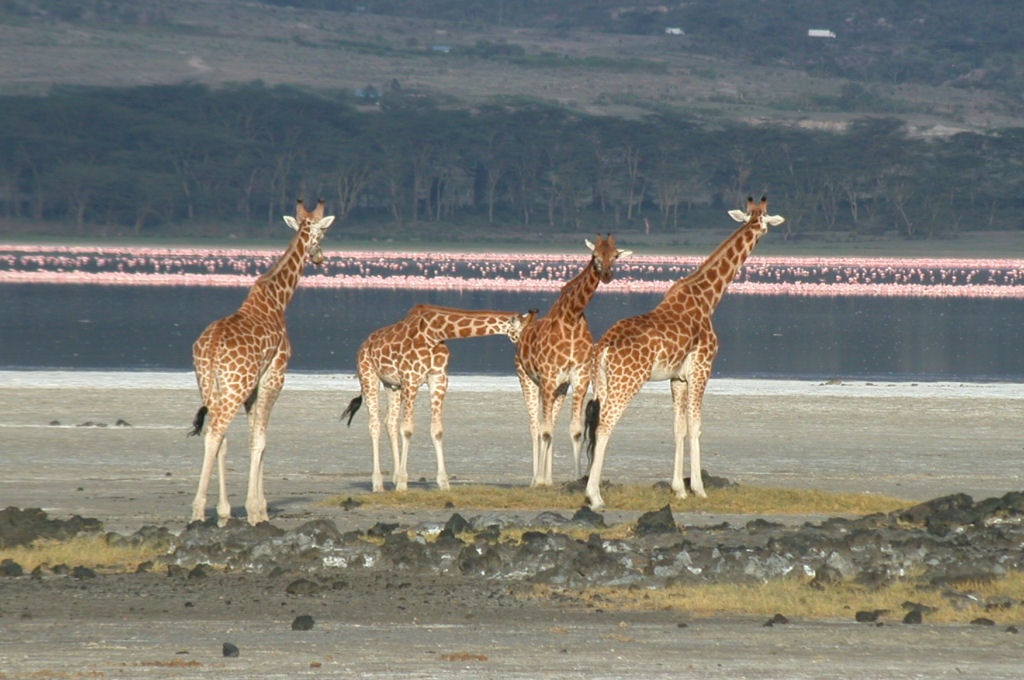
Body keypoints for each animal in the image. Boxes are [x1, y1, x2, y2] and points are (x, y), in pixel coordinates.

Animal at [188, 197, 335, 524]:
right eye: (322, 233)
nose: (320, 258)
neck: (279, 299)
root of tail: (211, 348)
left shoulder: (254, 387)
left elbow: (251, 437)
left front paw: (249, 508)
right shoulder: (274, 377)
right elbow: (261, 439)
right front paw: (257, 511)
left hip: (210, 385)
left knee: (218, 436)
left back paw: (220, 511)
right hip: (234, 387)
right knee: (215, 432)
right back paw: (197, 511)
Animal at [342, 305, 536, 491]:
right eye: (524, 332)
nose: (525, 350)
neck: (435, 333)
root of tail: (363, 345)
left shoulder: (438, 378)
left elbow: (437, 430)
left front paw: (442, 482)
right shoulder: (411, 378)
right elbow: (407, 429)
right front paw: (403, 483)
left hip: (392, 385)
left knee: (389, 421)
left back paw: (394, 477)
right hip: (369, 377)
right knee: (374, 424)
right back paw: (378, 483)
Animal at [516, 236, 626, 485]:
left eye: (615, 255)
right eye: (595, 255)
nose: (607, 274)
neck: (572, 318)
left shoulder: (578, 379)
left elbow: (574, 430)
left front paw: (576, 478)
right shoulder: (548, 378)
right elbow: (544, 430)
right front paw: (539, 480)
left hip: (559, 388)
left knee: (549, 425)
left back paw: (548, 479)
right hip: (528, 379)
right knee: (535, 425)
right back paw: (535, 479)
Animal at [585, 196, 782, 510]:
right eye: (763, 221)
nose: (762, 232)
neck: (708, 298)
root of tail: (603, 347)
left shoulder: (677, 378)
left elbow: (678, 427)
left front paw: (678, 489)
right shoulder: (702, 369)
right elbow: (696, 426)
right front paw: (699, 488)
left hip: (602, 382)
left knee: (595, 426)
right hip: (627, 382)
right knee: (604, 426)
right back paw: (594, 496)